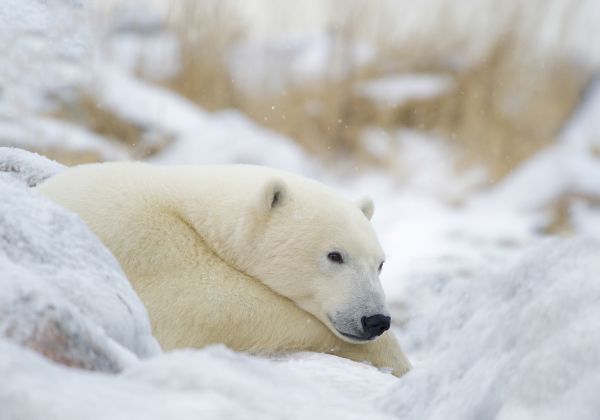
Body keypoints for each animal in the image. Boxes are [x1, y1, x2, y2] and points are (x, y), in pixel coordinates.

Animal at [37, 162, 410, 376]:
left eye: (380, 263)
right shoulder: (146, 241)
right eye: (335, 256)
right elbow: (210, 308)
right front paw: (395, 359)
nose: (376, 320)